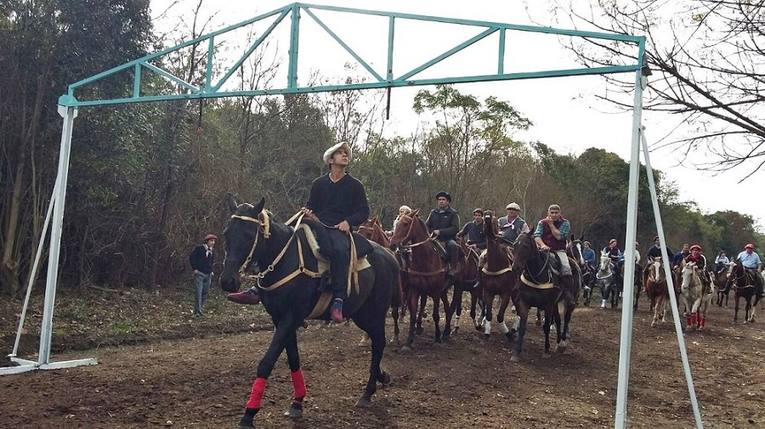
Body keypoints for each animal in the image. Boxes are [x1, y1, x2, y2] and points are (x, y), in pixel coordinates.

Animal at [219, 196, 400, 426]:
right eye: (226, 233)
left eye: (249, 234)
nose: (227, 281)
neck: (284, 259)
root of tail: (390, 256)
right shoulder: (280, 319)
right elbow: (293, 358)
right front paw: (297, 403)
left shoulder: (291, 318)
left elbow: (267, 362)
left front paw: (248, 414)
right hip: (361, 314)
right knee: (377, 342)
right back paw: (381, 377)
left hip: (374, 313)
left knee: (378, 344)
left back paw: (367, 393)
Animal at [390, 210, 450, 348]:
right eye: (396, 223)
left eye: (405, 223)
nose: (392, 244)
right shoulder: (415, 290)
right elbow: (412, 313)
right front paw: (408, 341)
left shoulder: (435, 291)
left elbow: (436, 315)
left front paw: (437, 337)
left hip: (442, 291)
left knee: (448, 309)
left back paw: (446, 332)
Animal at [508, 232, 580, 360]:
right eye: (515, 245)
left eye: (525, 246)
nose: (515, 267)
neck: (537, 275)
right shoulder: (524, 302)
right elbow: (522, 326)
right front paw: (516, 352)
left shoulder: (548, 305)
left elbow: (546, 327)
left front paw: (546, 350)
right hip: (556, 304)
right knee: (558, 320)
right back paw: (558, 341)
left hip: (570, 302)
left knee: (566, 319)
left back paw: (562, 343)